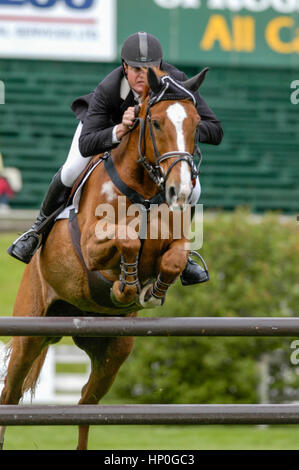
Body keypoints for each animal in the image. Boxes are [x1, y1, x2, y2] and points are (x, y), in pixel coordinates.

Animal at [0, 66, 209, 448]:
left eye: (197, 123)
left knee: (87, 404)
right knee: (11, 393)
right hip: (30, 331)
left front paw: (150, 290)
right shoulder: (90, 248)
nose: (181, 190)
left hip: (114, 349)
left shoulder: (174, 243)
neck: (143, 191)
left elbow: (174, 259)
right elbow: (126, 240)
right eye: (155, 122)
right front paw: (125, 286)